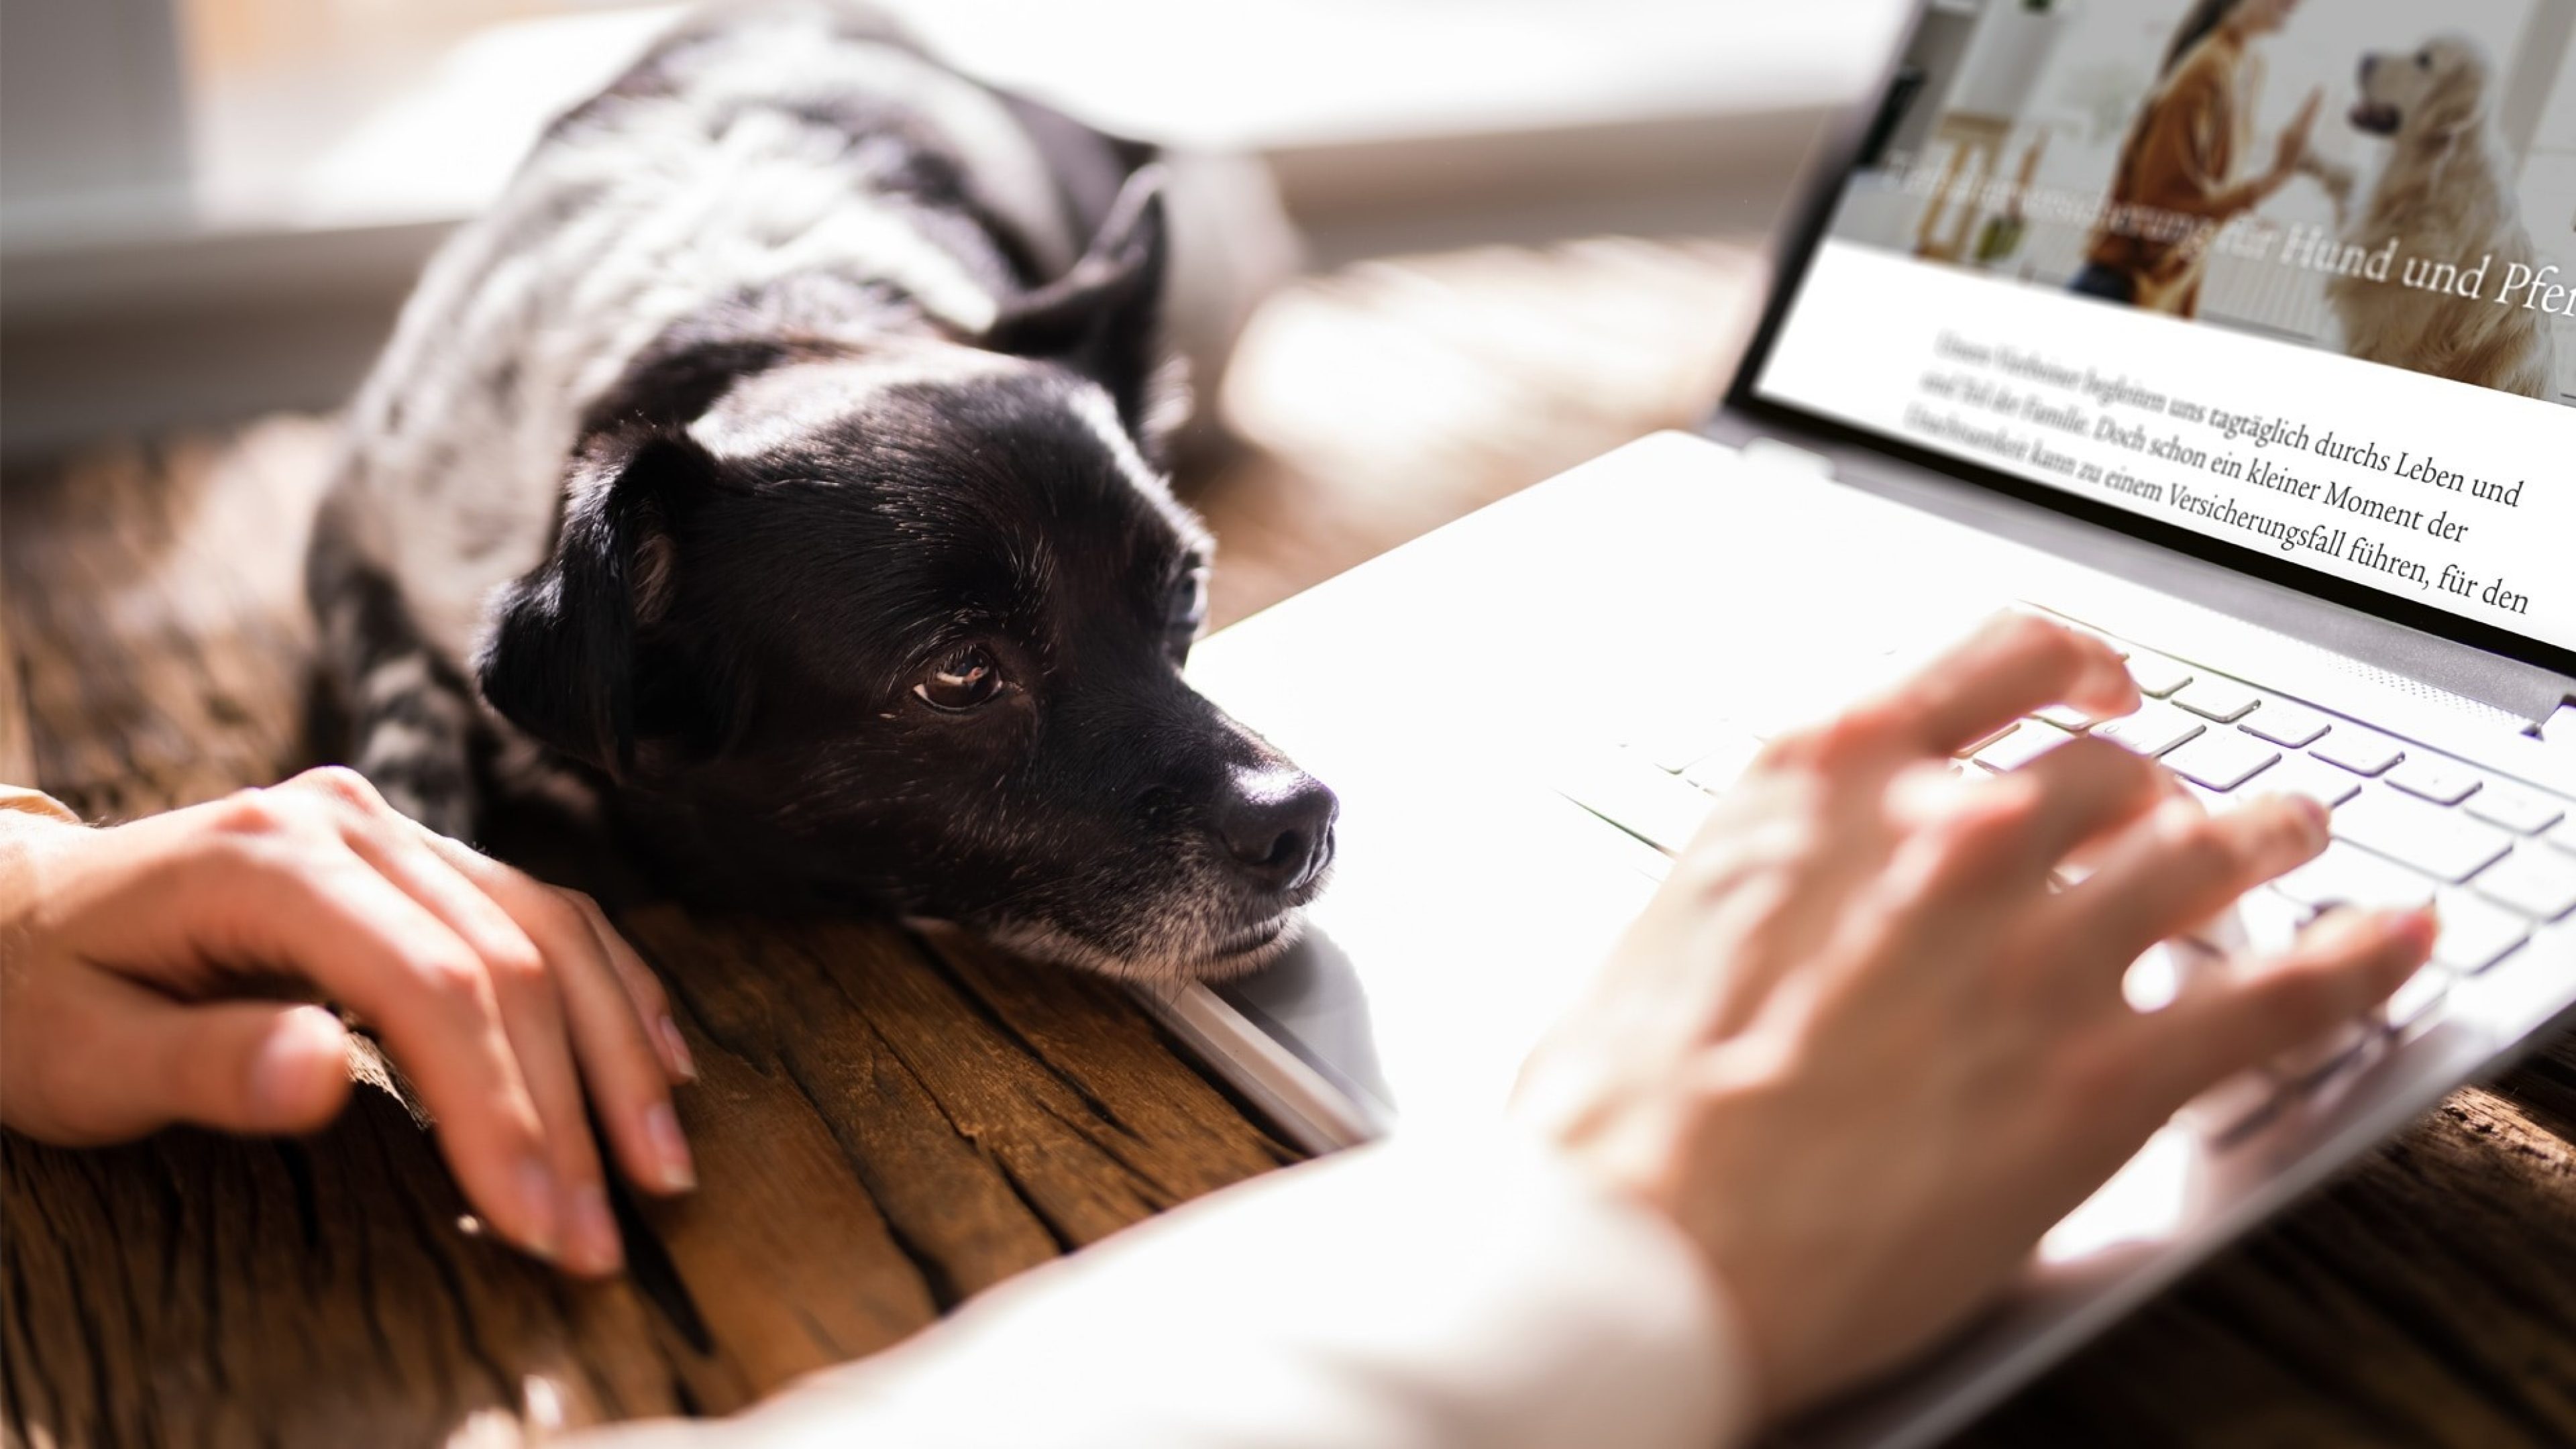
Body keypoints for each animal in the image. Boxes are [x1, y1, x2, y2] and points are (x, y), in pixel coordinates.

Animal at [311, 3, 1339, 979]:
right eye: (961, 673)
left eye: (1187, 592)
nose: (1302, 822)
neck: (763, 316)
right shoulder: (351, 525)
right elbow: (402, 717)